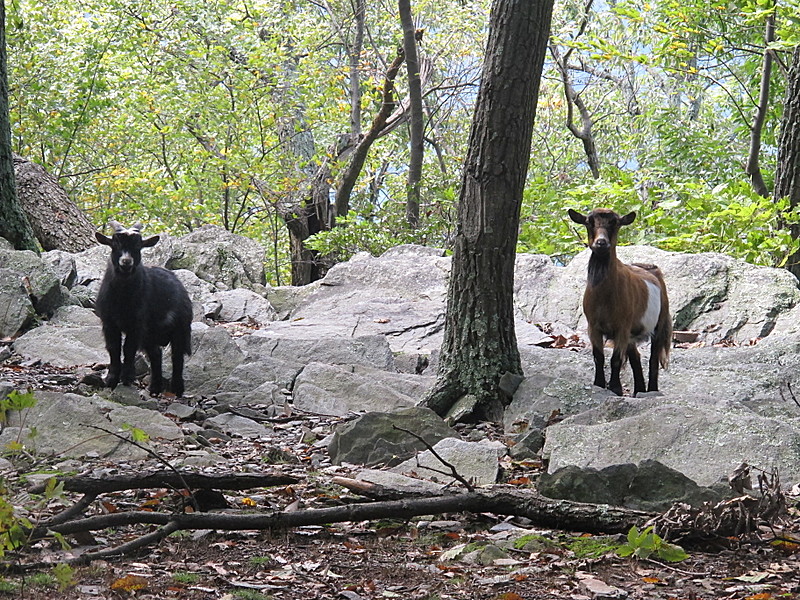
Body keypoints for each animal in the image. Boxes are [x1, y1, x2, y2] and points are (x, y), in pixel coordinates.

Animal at [93, 223, 192, 396]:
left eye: (138, 246)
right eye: (114, 244)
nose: (126, 261)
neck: (122, 299)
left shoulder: (137, 324)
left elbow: (129, 348)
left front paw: (126, 378)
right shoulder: (109, 322)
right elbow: (113, 348)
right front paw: (111, 379)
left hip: (180, 328)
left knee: (177, 356)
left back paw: (177, 389)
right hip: (150, 334)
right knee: (156, 354)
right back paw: (155, 388)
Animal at [564, 209, 672, 396]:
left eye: (615, 223)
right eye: (589, 222)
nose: (601, 242)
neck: (604, 297)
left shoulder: (622, 326)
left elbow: (615, 359)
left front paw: (615, 388)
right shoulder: (593, 325)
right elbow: (598, 356)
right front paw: (599, 384)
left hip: (660, 320)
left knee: (653, 358)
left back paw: (651, 390)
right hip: (632, 333)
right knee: (635, 357)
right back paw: (639, 391)